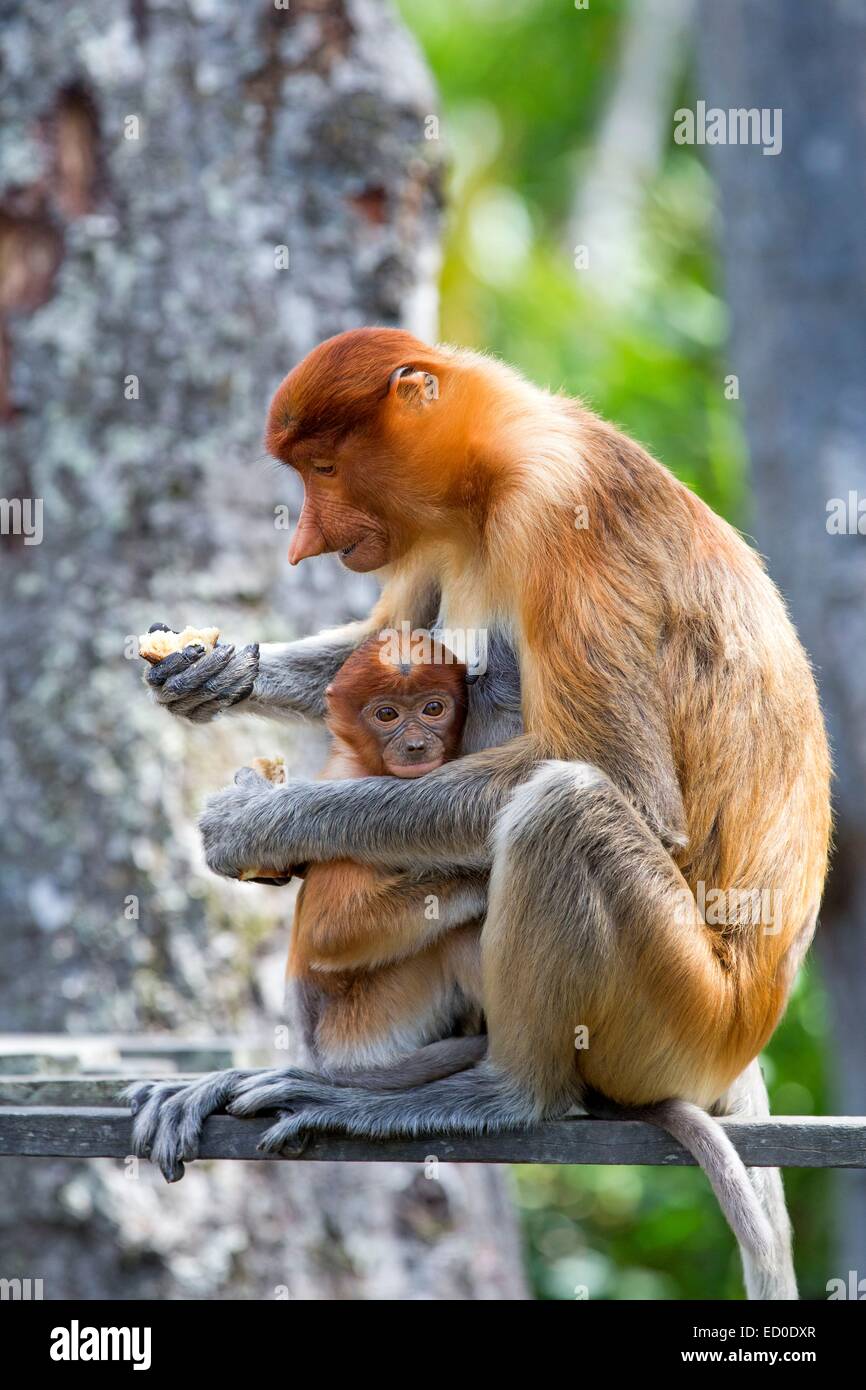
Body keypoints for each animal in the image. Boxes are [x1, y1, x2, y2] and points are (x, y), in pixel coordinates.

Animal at [126, 328, 831, 1300]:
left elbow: (624, 778)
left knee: (564, 800)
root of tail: (742, 1043)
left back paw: (494, 1093)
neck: (492, 473)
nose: (308, 542)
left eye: (323, 465)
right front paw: (213, 668)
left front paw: (255, 821)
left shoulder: (559, 511)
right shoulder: (428, 536)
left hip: (680, 1018)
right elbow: (378, 646)